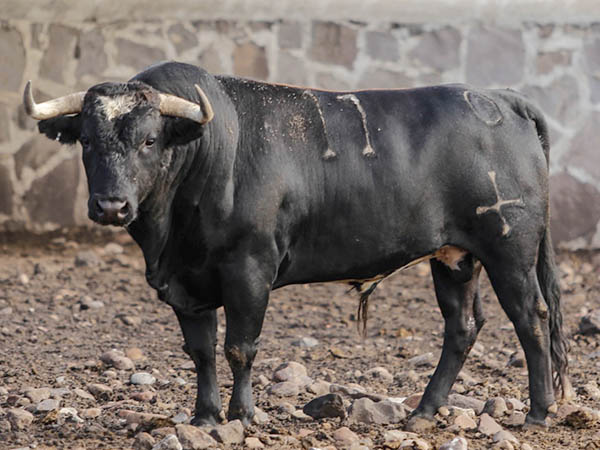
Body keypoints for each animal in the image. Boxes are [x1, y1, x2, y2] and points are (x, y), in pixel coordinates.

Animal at [23, 61, 573, 429]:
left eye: (149, 140)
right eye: (87, 140)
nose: (111, 206)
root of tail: (500, 97)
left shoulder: (249, 268)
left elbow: (240, 347)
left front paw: (242, 415)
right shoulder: (187, 285)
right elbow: (200, 351)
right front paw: (204, 417)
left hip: (509, 248)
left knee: (531, 316)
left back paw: (538, 412)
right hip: (455, 258)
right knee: (462, 325)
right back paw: (422, 411)